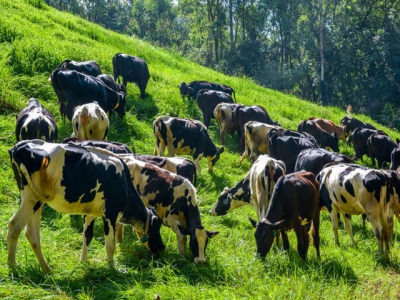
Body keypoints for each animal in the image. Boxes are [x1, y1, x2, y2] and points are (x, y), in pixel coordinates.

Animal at [7, 139, 162, 274]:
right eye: (157, 227)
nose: (162, 248)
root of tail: (20, 145)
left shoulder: (90, 213)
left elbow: (87, 237)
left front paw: (83, 262)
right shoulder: (110, 214)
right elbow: (110, 245)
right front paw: (113, 269)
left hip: (35, 199)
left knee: (32, 234)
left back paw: (46, 269)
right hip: (32, 199)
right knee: (15, 226)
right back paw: (13, 267)